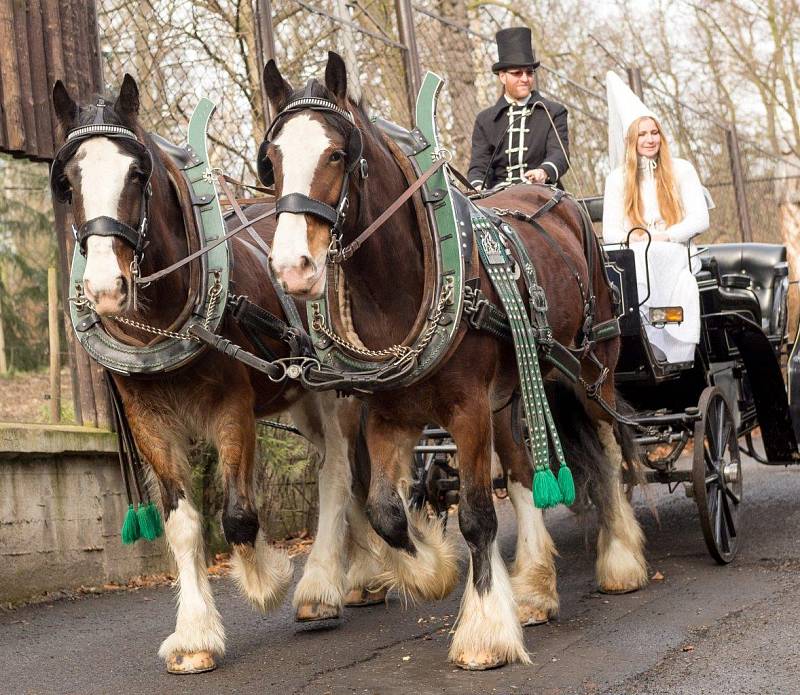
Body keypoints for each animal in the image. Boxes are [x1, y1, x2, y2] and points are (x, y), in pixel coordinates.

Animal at [50, 75, 388, 676]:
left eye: (137, 174)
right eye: (68, 181)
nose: (106, 288)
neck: (163, 320)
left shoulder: (232, 406)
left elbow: (237, 516)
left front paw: (266, 581)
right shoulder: (147, 421)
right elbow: (183, 525)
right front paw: (194, 635)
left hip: (336, 389)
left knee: (338, 471)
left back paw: (321, 586)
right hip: (300, 390)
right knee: (337, 465)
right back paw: (359, 574)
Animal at [262, 51, 648, 672]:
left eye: (337, 154)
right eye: (271, 160)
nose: (292, 268)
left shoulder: (466, 408)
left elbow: (476, 516)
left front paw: (484, 631)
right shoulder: (389, 415)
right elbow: (386, 513)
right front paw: (431, 569)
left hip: (595, 372)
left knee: (611, 454)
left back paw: (620, 562)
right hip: (515, 392)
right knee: (521, 469)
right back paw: (534, 589)